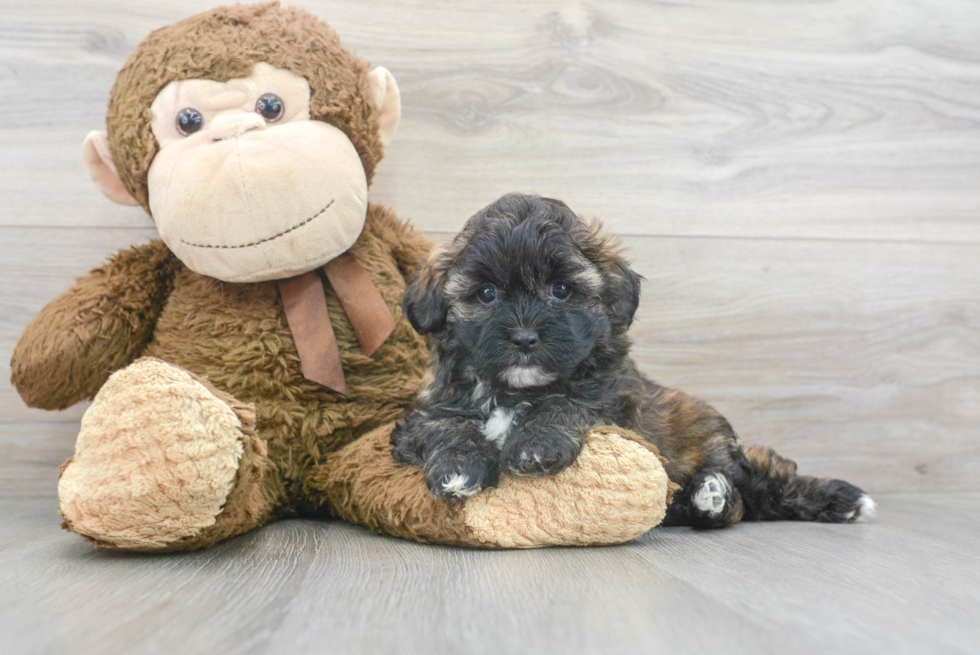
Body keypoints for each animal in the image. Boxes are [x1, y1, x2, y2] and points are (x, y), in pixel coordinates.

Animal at [394, 193, 876, 528]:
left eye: (561, 290)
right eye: (487, 294)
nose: (525, 337)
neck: (515, 389)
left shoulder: (615, 404)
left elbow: (568, 403)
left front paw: (536, 444)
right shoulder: (422, 414)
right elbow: (446, 425)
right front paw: (459, 466)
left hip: (716, 446)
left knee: (757, 488)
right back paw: (707, 496)